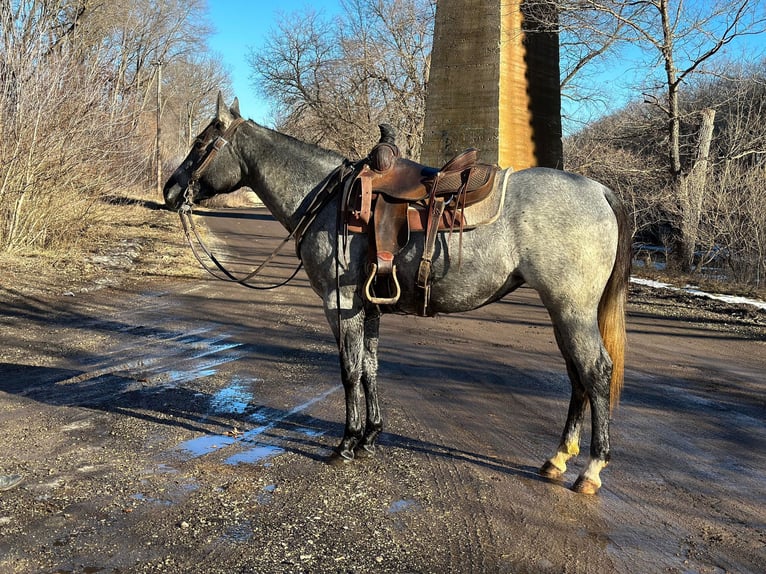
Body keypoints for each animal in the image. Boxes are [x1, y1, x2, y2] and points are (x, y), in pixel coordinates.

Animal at [165, 94, 632, 496]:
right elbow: (371, 368)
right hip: (562, 312)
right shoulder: (369, 306)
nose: (170, 190)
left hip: (571, 310)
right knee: (577, 377)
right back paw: (558, 459)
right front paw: (370, 437)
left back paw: (591, 469)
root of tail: (599, 190)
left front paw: (346, 443)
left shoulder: (340, 305)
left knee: (595, 372)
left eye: (201, 143)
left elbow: (350, 371)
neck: (329, 201)